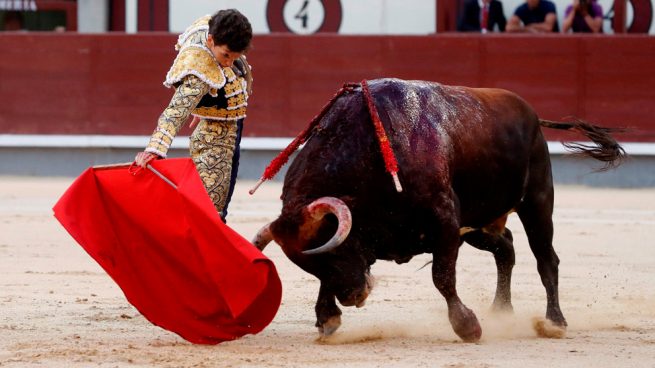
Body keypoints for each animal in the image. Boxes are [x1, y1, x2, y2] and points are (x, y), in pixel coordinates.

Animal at [251, 77, 624, 342]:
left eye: (333, 252)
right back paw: (501, 311)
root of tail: (530, 113)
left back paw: (554, 322)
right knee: (506, 248)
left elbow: (442, 277)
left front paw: (468, 327)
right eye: (311, 265)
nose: (354, 297)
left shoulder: (445, 222)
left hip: (537, 200)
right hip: (477, 224)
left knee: (546, 258)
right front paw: (327, 317)